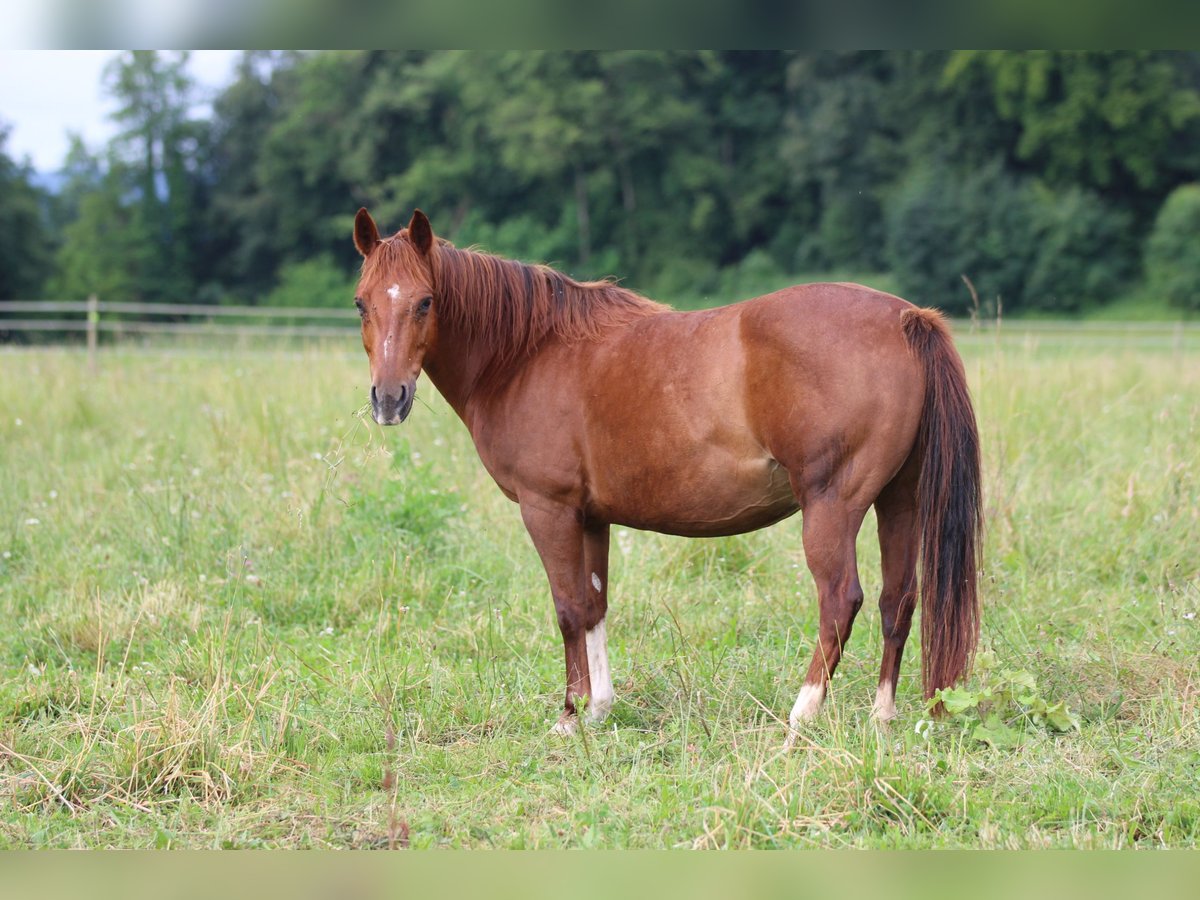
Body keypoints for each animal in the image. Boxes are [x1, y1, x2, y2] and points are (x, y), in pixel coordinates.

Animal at [350, 207, 979, 744]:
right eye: (361, 305)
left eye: (425, 302)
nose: (388, 399)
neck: (528, 354)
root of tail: (905, 319)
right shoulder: (590, 517)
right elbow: (594, 605)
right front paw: (599, 709)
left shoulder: (548, 508)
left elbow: (567, 608)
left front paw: (569, 716)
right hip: (899, 500)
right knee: (898, 599)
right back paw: (882, 716)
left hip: (834, 505)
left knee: (840, 600)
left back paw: (801, 715)